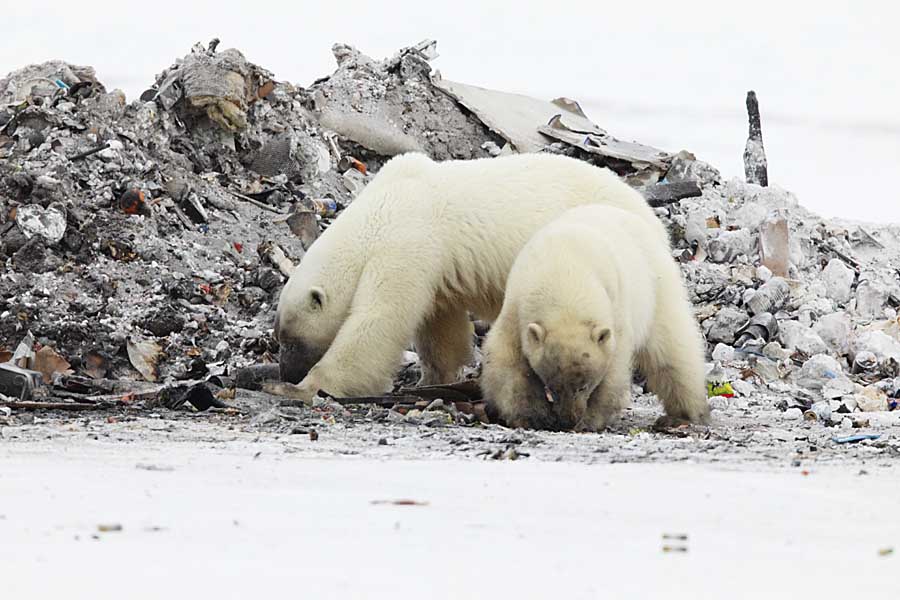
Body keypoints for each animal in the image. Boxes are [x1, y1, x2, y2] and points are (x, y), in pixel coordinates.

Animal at [274, 152, 668, 404]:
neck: (380, 210)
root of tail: (651, 218)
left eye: (291, 340)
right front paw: (433, 378)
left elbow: (378, 321)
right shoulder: (433, 267)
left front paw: (303, 387)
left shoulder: (406, 244)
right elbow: (439, 324)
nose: (285, 370)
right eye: (280, 337)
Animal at [482, 204, 708, 428]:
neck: (565, 272)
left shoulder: (615, 307)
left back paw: (681, 414)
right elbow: (506, 360)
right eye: (552, 386)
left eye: (584, 386)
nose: (569, 420)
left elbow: (614, 368)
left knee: (670, 348)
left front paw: (589, 420)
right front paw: (532, 416)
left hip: (655, 286)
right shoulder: (516, 304)